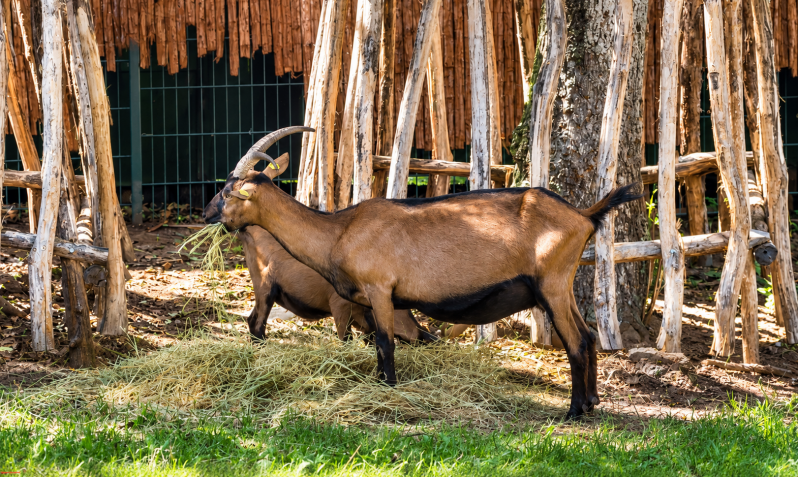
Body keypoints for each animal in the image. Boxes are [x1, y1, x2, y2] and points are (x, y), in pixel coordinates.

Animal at [203, 127, 642, 419]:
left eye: (227, 192)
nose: (207, 213)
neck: (338, 230)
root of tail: (584, 216)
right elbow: (374, 344)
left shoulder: (380, 291)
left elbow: (384, 344)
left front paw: (388, 390)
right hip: (561, 285)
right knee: (588, 335)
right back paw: (593, 402)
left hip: (550, 285)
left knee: (576, 342)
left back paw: (574, 411)